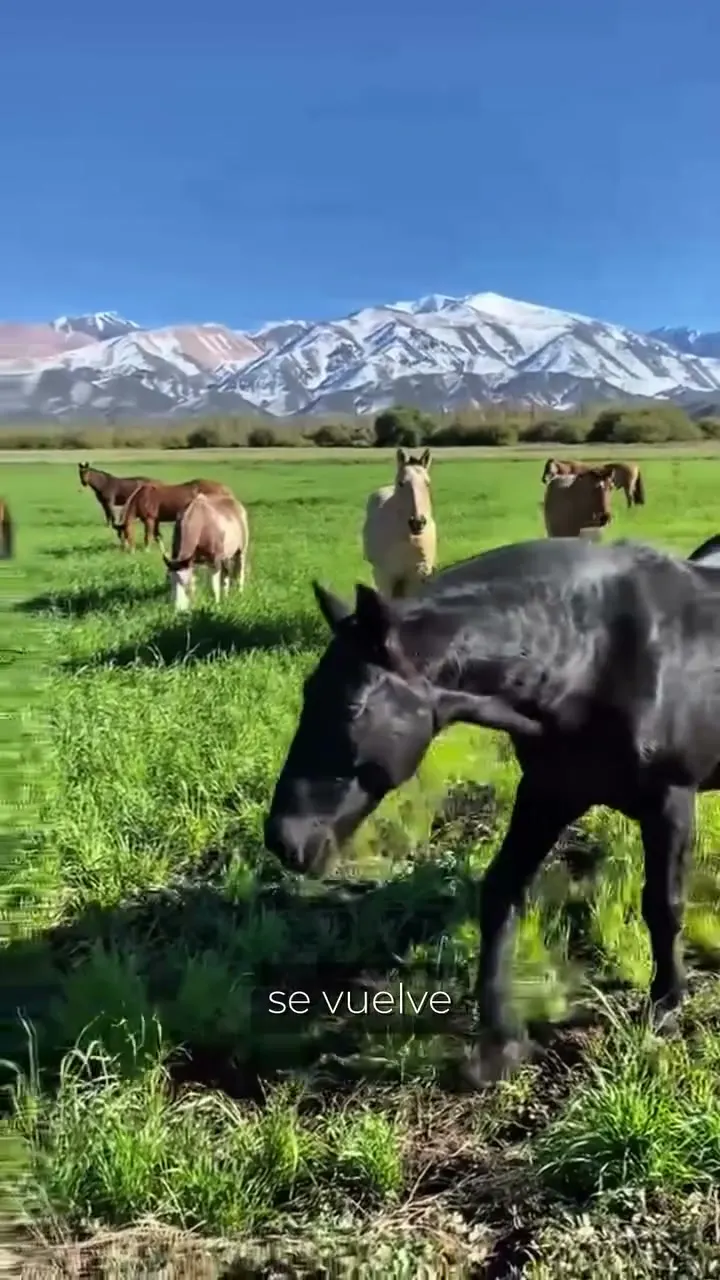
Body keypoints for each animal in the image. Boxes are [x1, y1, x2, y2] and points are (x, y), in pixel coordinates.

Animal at [264, 534, 720, 1085]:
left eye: (352, 707)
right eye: (309, 690)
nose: (284, 838)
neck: (597, 658)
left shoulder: (670, 802)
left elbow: (663, 905)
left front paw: (667, 1003)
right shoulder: (548, 793)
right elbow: (501, 891)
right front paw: (499, 1040)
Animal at [362, 448, 437, 599]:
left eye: (427, 483)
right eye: (401, 483)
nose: (417, 522)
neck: (409, 539)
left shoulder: (417, 577)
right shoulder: (386, 576)